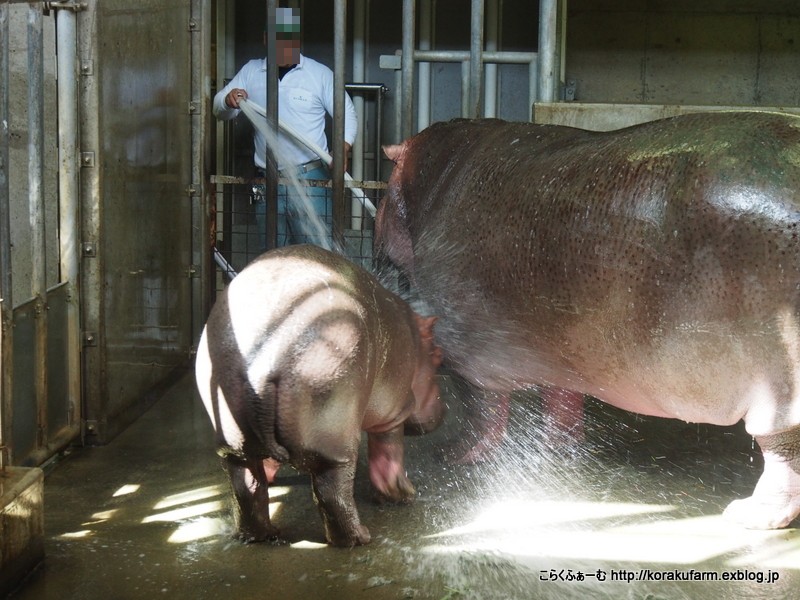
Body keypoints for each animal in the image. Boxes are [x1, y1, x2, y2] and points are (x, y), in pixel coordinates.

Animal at [194, 245, 444, 548]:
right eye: (439, 356)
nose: (443, 410)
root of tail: (265, 359)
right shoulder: (393, 413)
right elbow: (388, 455)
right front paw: (404, 494)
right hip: (335, 439)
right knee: (331, 492)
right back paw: (358, 538)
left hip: (234, 442)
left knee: (247, 486)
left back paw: (261, 535)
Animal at [378, 110, 800, 528]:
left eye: (384, 187)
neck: (430, 175)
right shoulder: (560, 350)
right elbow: (562, 400)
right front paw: (560, 449)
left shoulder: (469, 350)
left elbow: (481, 410)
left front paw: (453, 455)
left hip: (778, 391)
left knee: (782, 452)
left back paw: (750, 515)